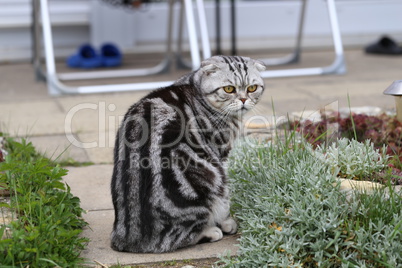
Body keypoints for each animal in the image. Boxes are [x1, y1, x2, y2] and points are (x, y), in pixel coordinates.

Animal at [111, 55, 266, 253]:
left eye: (252, 88)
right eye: (229, 89)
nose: (244, 99)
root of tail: (129, 239)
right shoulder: (220, 156)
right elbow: (225, 199)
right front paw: (225, 221)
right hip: (208, 177)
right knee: (179, 238)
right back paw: (210, 231)